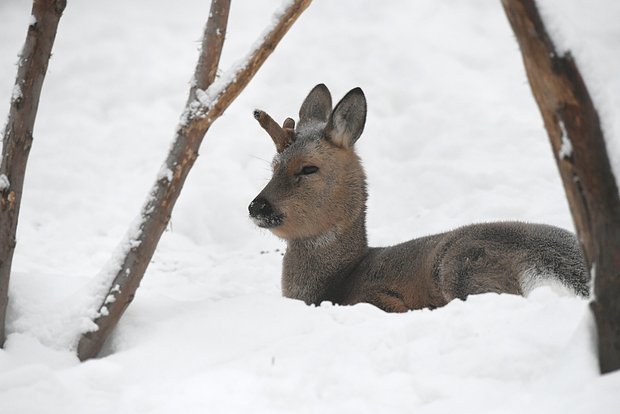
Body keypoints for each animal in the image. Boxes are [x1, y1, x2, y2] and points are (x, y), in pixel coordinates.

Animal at [248, 83, 592, 310]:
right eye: (274, 165)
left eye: (308, 168)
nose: (256, 206)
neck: (336, 281)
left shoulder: (381, 297)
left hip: (463, 264)